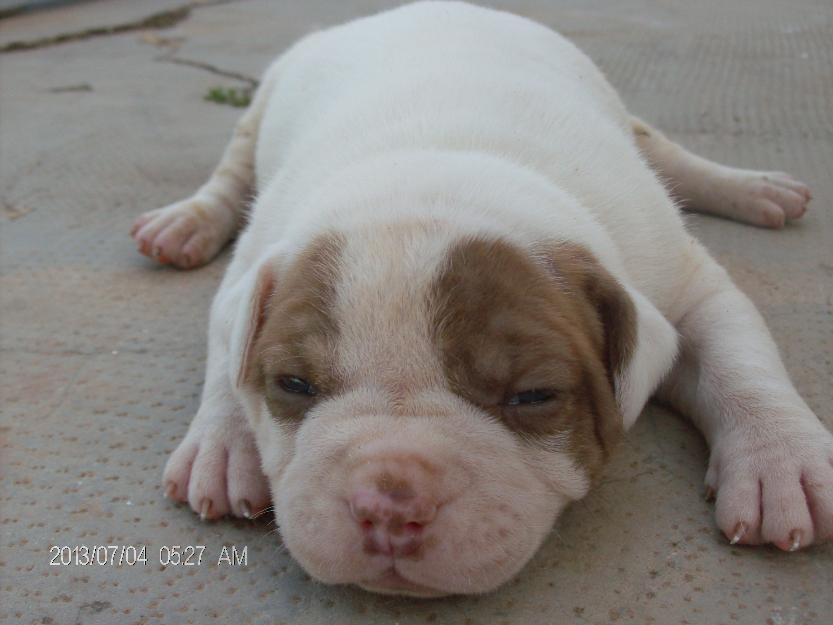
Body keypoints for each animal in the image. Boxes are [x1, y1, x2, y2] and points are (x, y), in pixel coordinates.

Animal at [130, 0, 832, 596]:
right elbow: (228, 357)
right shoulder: (249, 270)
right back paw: (184, 223)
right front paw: (224, 446)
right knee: (231, 170)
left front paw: (782, 462)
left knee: (664, 148)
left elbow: (740, 362)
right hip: (266, 98)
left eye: (534, 396)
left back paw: (754, 189)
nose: (389, 505)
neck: (441, 169)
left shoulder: (690, 286)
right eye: (294, 384)